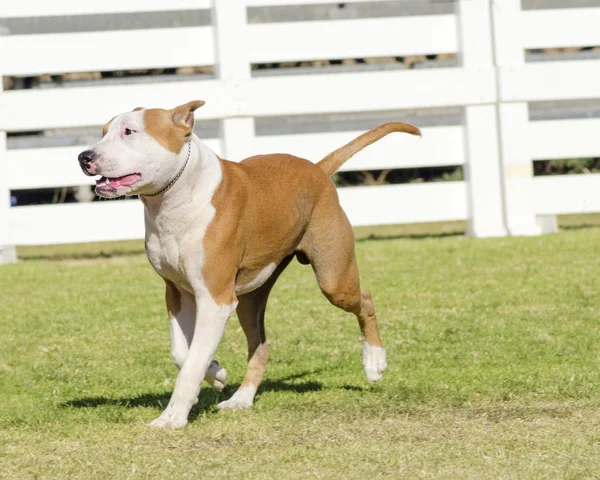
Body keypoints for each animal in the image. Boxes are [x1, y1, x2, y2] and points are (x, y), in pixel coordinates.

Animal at [77, 100, 420, 428]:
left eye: (129, 132)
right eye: (104, 131)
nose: (84, 156)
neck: (178, 197)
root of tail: (317, 169)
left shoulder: (215, 299)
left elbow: (190, 363)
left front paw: (172, 418)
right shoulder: (176, 293)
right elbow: (183, 353)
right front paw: (215, 372)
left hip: (334, 278)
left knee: (364, 300)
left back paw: (374, 363)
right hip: (250, 297)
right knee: (260, 346)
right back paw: (241, 399)